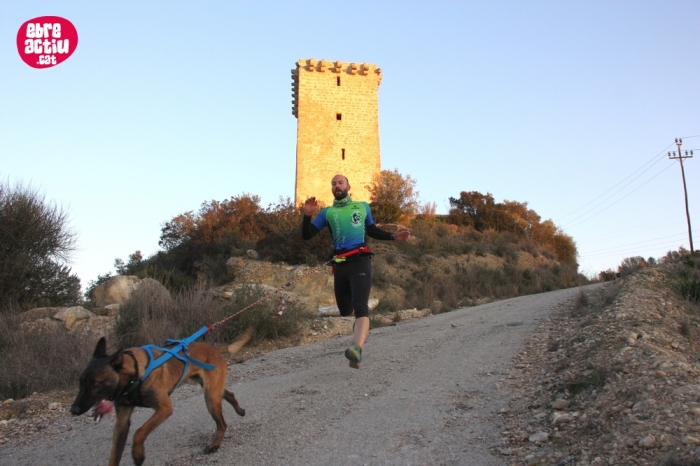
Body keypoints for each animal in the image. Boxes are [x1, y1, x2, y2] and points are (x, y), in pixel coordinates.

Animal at [70, 328, 254, 466]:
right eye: (80, 382)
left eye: (96, 384)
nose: (73, 410)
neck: (134, 374)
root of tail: (214, 349)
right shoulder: (122, 422)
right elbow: (114, 455)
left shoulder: (164, 408)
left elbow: (139, 432)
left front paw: (138, 455)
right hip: (211, 391)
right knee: (229, 394)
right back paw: (240, 410)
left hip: (210, 398)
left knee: (222, 424)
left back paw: (214, 445)